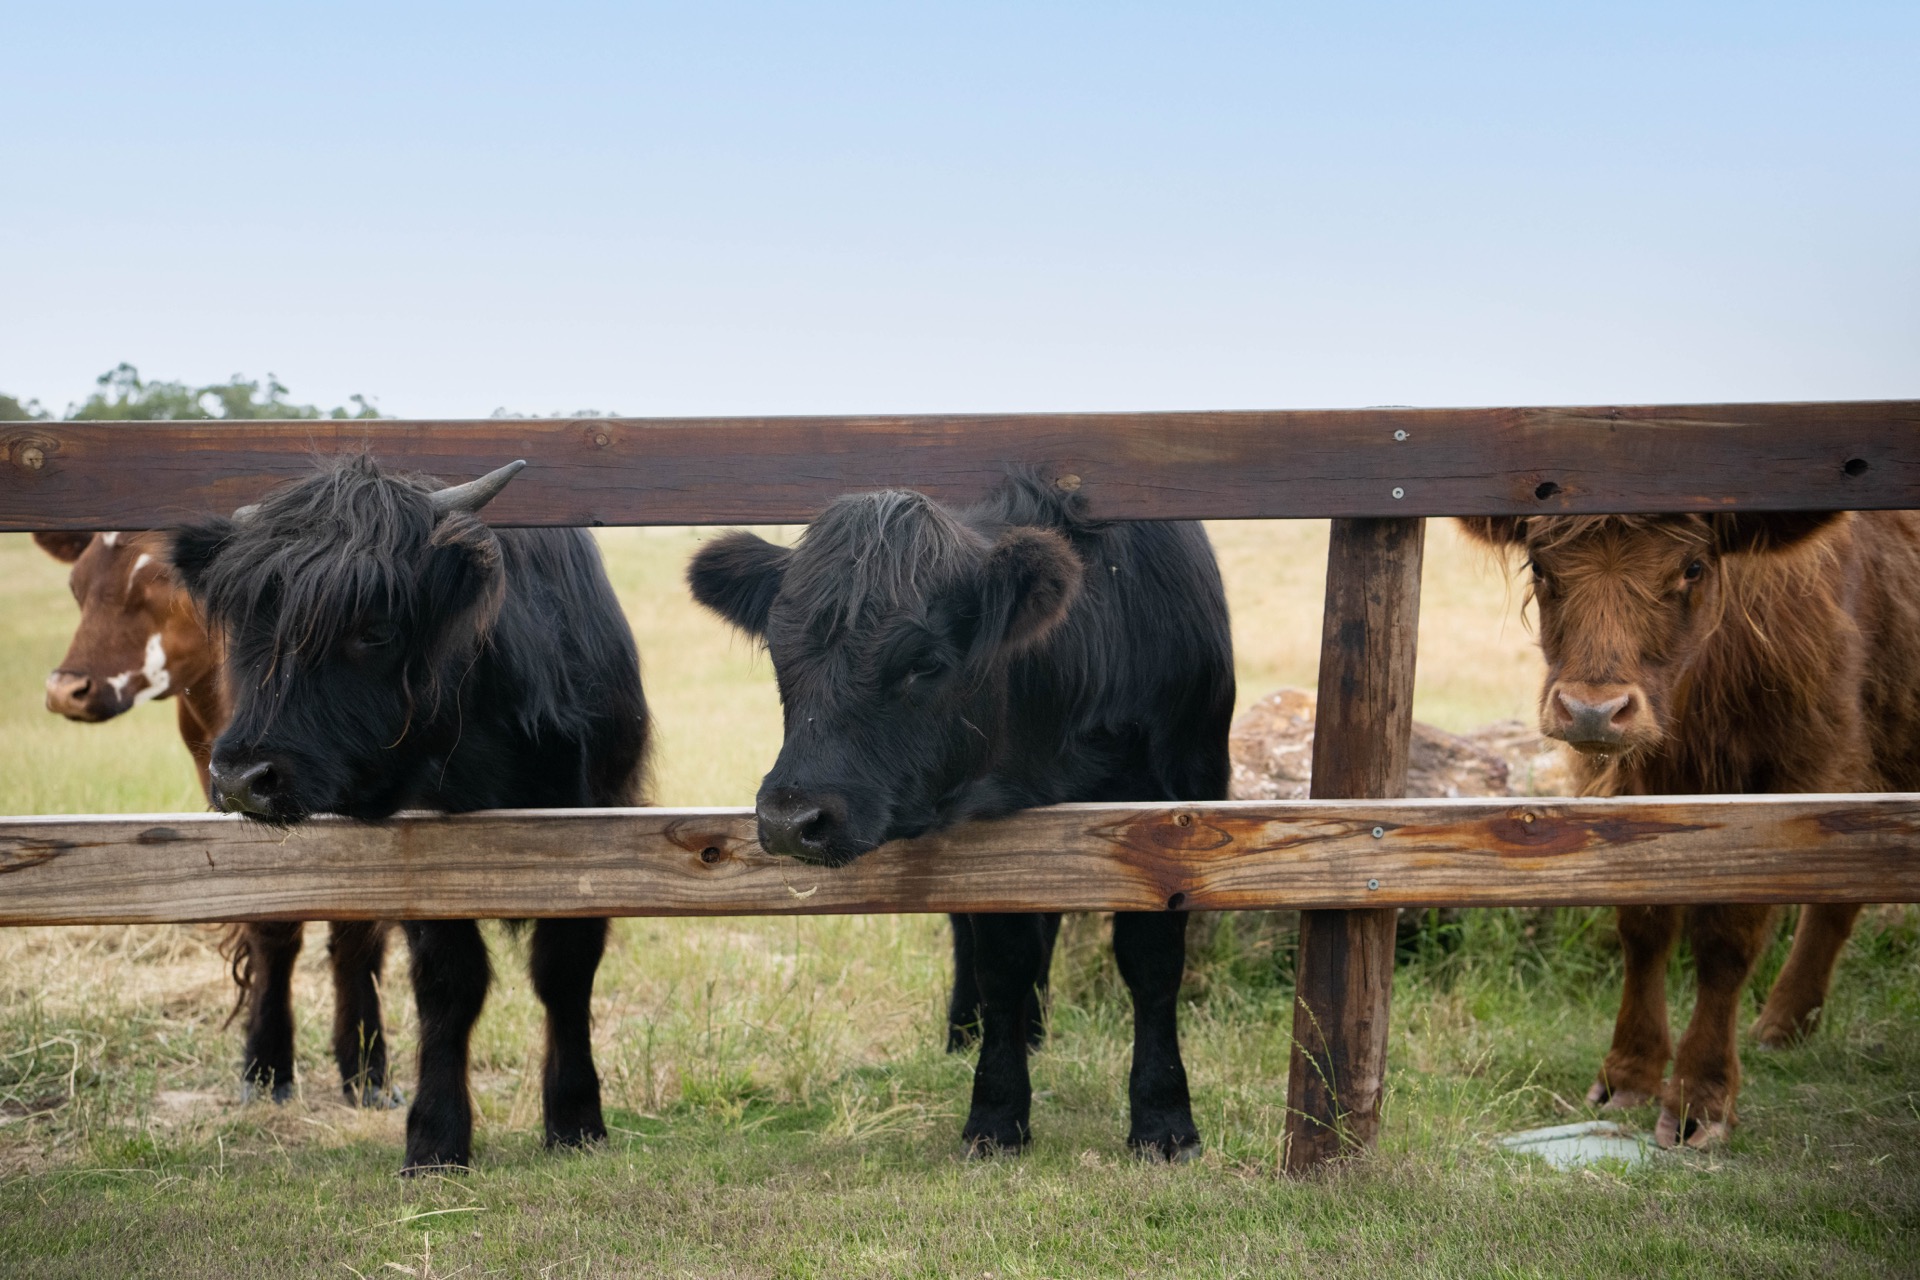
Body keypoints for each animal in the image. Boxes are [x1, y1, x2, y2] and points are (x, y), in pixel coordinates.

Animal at [33, 529, 395, 1107]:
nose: (66, 691)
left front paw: (368, 1070)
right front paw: (267, 1065)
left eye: (162, 581)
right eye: (77, 582)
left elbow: (361, 927)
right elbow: (272, 923)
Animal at [170, 454, 650, 1173]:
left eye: (373, 630)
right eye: (250, 629)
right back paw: (268, 1072)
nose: (243, 778)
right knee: (277, 933)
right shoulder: (427, 853)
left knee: (350, 938)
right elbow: (449, 982)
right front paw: (436, 1139)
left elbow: (564, 970)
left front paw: (575, 1117)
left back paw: (366, 1077)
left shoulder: (599, 823)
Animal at [687, 473, 1234, 1159]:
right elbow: (1001, 960)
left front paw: (1164, 1121)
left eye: (924, 662)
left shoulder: (1177, 809)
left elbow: (1152, 961)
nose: (790, 819)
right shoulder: (990, 831)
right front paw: (997, 1113)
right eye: (779, 655)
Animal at [1460, 511, 1920, 1147]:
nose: (1593, 712)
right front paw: (1629, 1073)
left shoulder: (1795, 774)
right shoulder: (1630, 782)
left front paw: (1700, 1098)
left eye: (1693, 566)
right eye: (1540, 565)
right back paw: (1783, 1026)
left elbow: (1727, 936)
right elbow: (1644, 924)